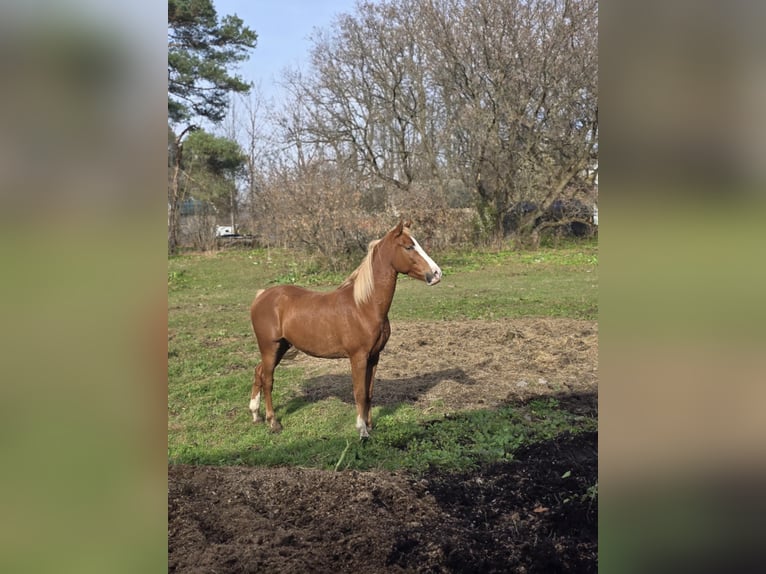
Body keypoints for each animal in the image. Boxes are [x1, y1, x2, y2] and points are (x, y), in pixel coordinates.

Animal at [250, 220, 444, 440]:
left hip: (280, 347)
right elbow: (359, 393)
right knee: (268, 380)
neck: (364, 305)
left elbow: (369, 392)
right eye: (409, 247)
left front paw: (370, 425)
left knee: (259, 372)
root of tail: (262, 296)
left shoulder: (374, 357)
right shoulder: (358, 357)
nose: (436, 273)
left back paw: (255, 414)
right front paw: (362, 430)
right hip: (270, 347)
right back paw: (273, 422)